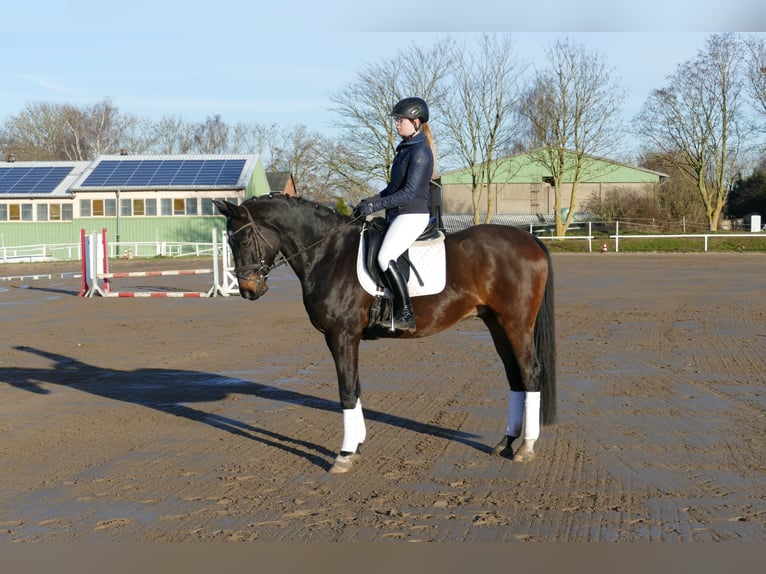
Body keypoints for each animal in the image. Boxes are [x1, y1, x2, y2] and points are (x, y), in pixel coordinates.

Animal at [214, 194, 556, 473]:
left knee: (530, 372)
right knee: (515, 377)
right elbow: (355, 388)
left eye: (245, 240)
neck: (329, 253)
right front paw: (357, 444)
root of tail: (529, 240)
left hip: (516, 323)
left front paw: (344, 454)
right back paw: (507, 442)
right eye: (229, 243)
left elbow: (346, 391)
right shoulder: (343, 338)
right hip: (496, 323)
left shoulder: (341, 335)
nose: (248, 291)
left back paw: (526, 448)